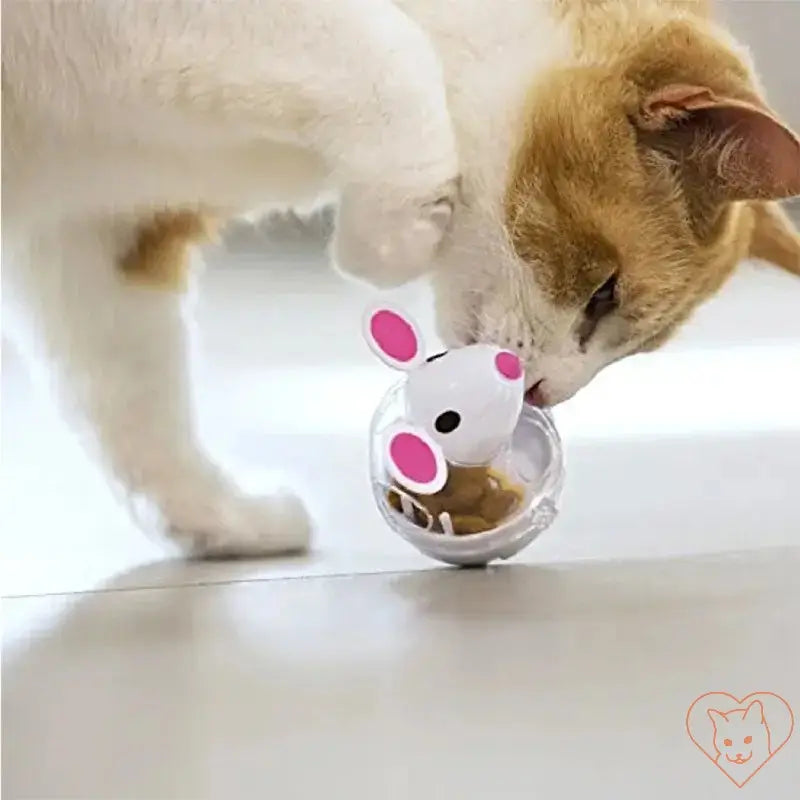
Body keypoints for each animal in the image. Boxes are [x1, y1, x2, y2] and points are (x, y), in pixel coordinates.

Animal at [1, 0, 800, 556]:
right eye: (604, 292)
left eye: (633, 345)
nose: (547, 392)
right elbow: (389, 51)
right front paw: (389, 236)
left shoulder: (98, 225)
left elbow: (129, 393)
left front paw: (217, 520)